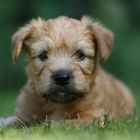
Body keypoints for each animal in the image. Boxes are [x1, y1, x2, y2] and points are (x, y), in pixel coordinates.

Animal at [0, 16, 135, 127]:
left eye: (81, 55)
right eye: (43, 55)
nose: (61, 77)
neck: (56, 103)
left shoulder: (94, 117)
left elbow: (62, 123)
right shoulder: (24, 114)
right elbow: (12, 121)